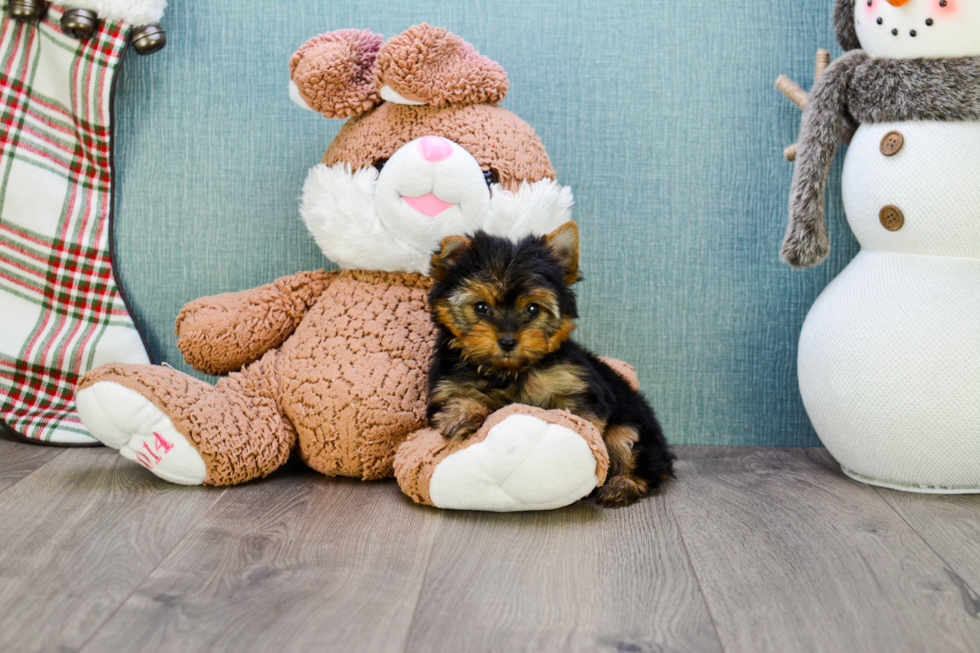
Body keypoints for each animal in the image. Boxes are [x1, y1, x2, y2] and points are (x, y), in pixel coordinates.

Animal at [428, 222, 672, 506]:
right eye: (480, 307)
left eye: (533, 309)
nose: (508, 341)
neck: (510, 371)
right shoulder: (446, 385)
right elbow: (462, 398)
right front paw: (461, 414)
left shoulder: (576, 386)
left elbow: (585, 420)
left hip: (634, 428)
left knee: (630, 446)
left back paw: (622, 485)